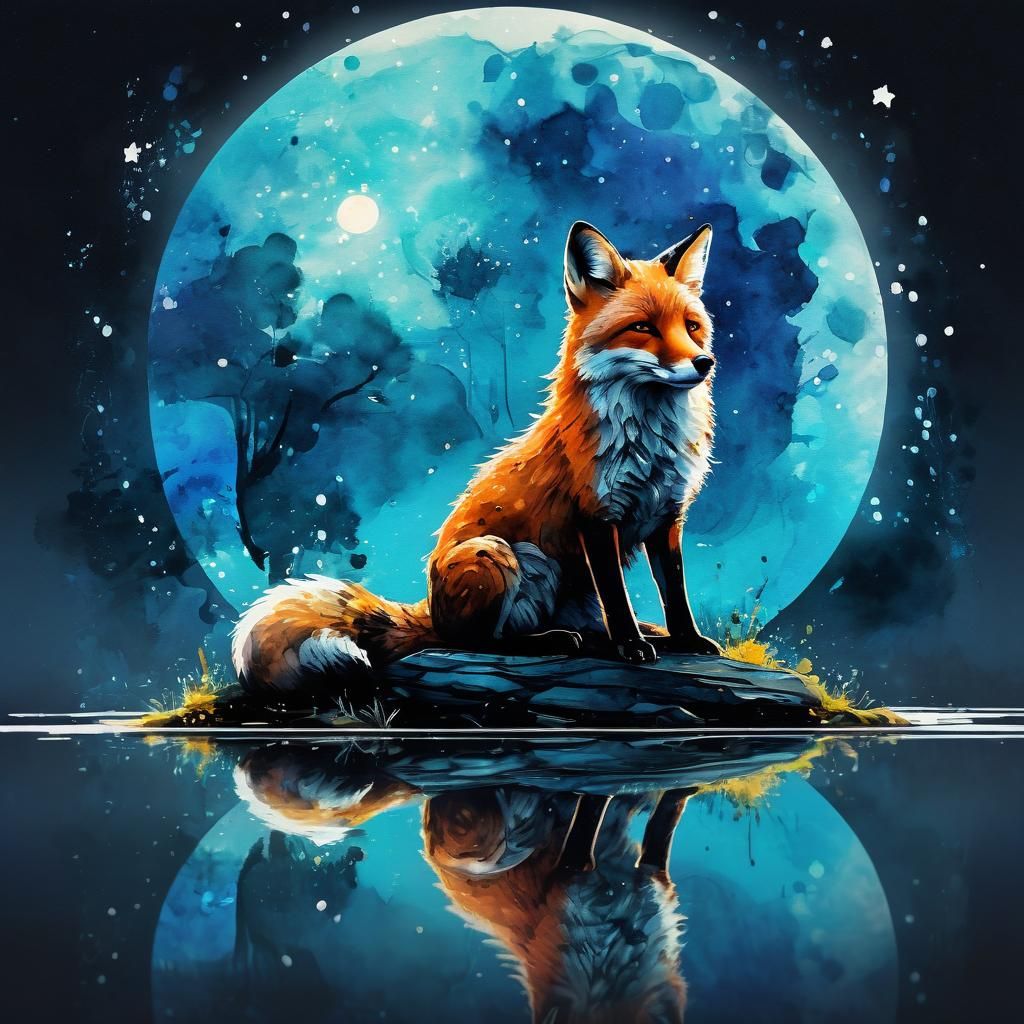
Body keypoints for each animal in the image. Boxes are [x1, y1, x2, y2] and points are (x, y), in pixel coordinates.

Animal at [232, 219, 720, 694]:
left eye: (691, 326)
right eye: (644, 328)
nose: (704, 363)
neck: (650, 442)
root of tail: (430, 610)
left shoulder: (667, 515)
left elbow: (675, 592)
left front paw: (687, 640)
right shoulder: (596, 517)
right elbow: (617, 599)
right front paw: (630, 647)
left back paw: (633, 633)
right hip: (497, 554)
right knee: (480, 641)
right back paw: (555, 640)